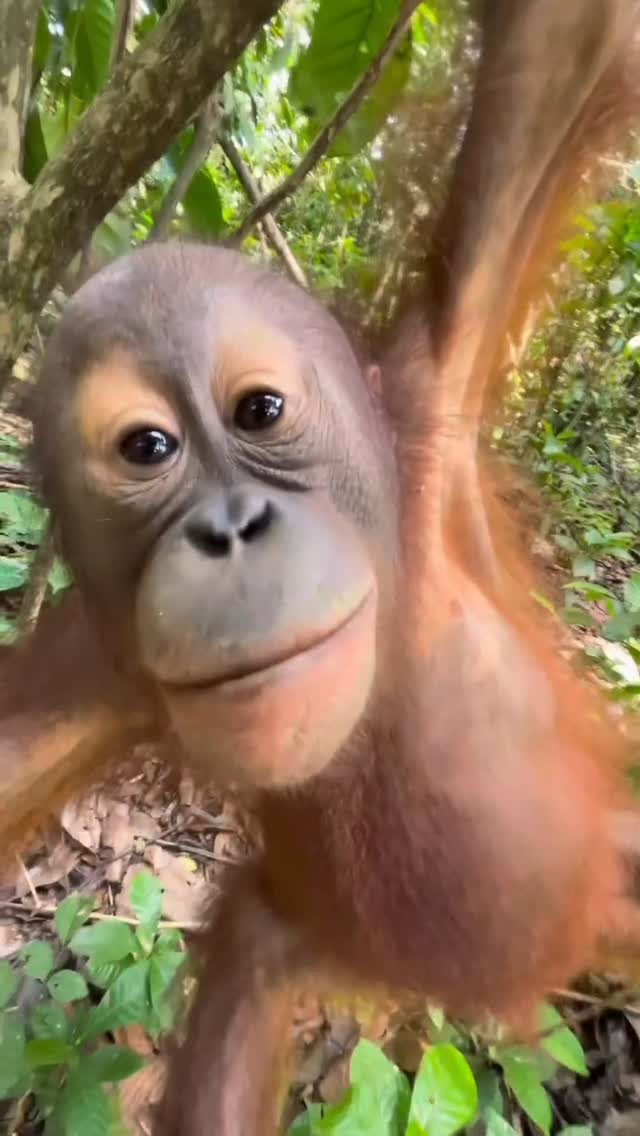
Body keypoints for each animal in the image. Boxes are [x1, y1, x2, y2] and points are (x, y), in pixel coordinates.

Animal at [2, 2, 640, 1135]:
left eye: (260, 411)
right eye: (148, 449)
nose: (231, 526)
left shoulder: (427, 412)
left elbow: (568, 50)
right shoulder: (101, 667)